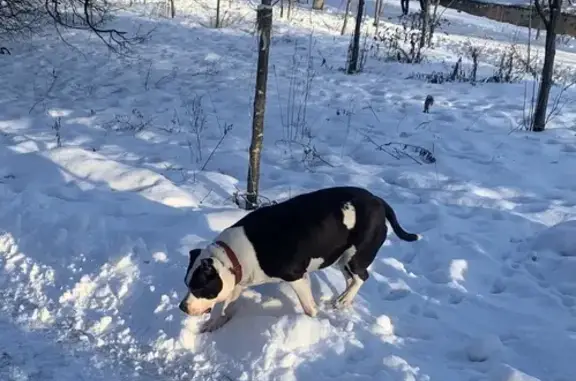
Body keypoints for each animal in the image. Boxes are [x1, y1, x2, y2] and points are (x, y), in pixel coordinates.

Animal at [180, 186, 424, 332]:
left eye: (200, 287)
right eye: (186, 284)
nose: (182, 307)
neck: (234, 256)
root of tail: (378, 201)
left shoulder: (297, 277)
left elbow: (308, 306)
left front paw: (312, 321)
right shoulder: (239, 282)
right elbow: (226, 304)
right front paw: (214, 324)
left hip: (357, 255)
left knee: (361, 276)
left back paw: (344, 299)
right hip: (341, 257)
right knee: (351, 279)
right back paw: (343, 299)